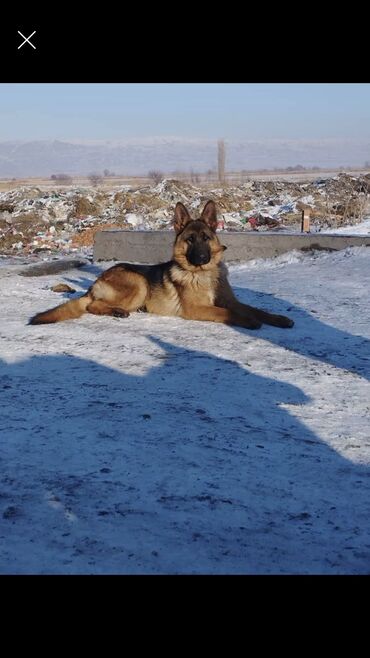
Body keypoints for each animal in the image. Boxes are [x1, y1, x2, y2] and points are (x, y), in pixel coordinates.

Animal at [28, 197, 294, 326]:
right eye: (190, 240)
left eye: (206, 238)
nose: (201, 257)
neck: (202, 274)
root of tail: (96, 281)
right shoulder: (197, 309)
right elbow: (227, 313)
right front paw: (249, 322)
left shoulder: (232, 302)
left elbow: (257, 309)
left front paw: (278, 319)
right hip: (138, 282)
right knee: (92, 306)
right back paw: (117, 312)